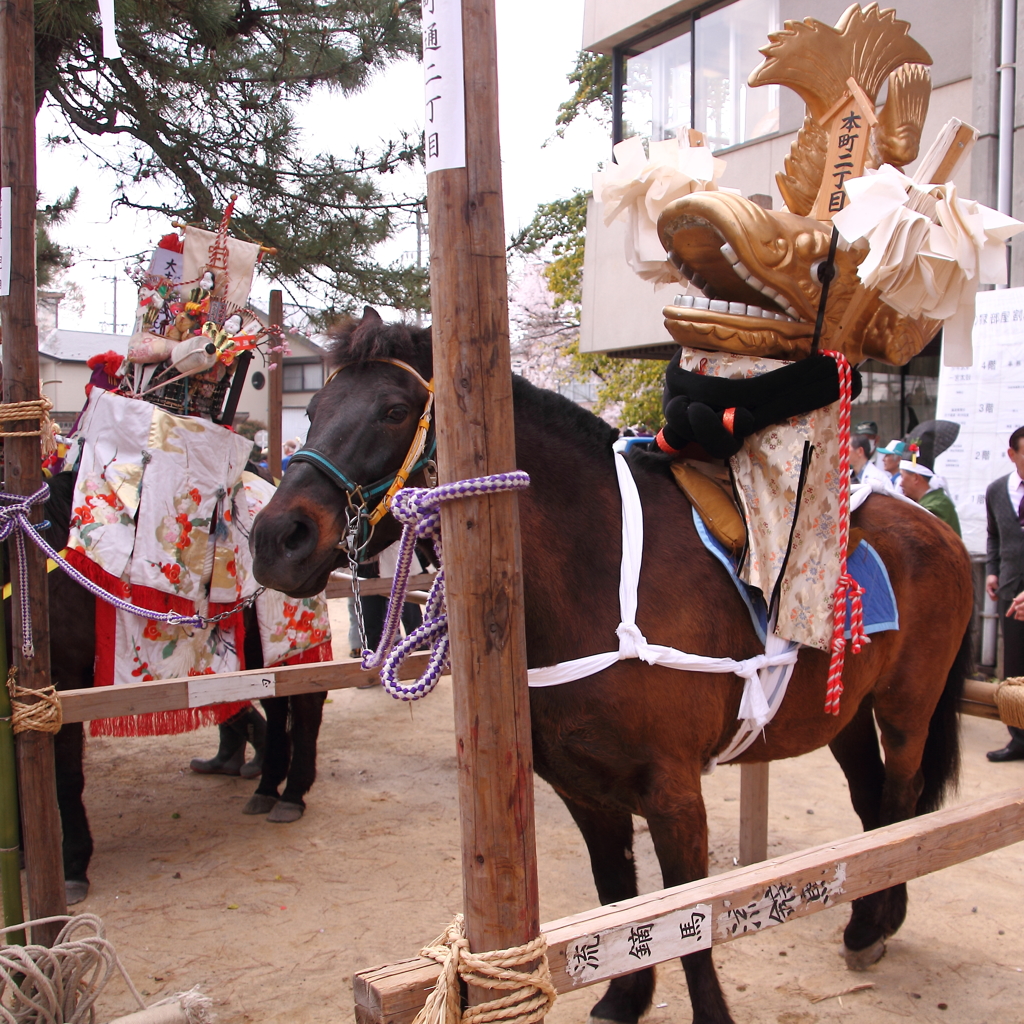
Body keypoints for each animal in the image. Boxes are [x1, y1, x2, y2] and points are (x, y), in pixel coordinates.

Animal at [249, 311, 974, 1024]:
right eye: (314, 409)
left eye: (394, 410)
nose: (276, 539)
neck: (593, 574)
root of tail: (940, 531)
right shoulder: (585, 789)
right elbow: (618, 897)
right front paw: (626, 997)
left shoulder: (674, 794)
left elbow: (689, 922)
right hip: (845, 712)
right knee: (872, 803)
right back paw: (871, 918)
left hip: (906, 708)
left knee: (901, 800)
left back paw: (875, 921)